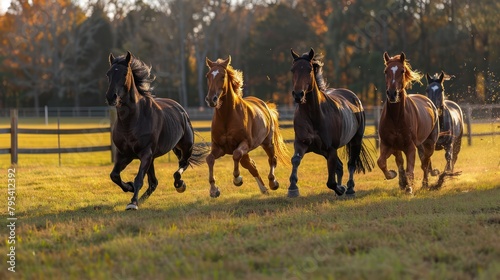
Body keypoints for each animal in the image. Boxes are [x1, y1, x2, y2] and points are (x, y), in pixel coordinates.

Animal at [105, 50, 207, 210]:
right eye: (108, 73)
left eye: (124, 73)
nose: (111, 97)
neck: (132, 121)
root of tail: (181, 109)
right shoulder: (125, 154)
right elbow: (114, 175)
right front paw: (129, 187)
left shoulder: (146, 153)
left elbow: (139, 178)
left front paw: (132, 203)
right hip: (154, 157)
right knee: (154, 183)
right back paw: (141, 198)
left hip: (184, 147)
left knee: (182, 165)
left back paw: (179, 184)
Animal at [204, 55, 290, 198]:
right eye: (208, 76)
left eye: (222, 76)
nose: (211, 99)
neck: (227, 116)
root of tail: (264, 104)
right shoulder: (219, 147)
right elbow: (209, 159)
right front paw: (213, 189)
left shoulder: (244, 144)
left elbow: (236, 155)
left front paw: (237, 179)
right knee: (251, 166)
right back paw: (264, 189)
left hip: (268, 142)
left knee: (272, 159)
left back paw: (273, 183)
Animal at [288, 47, 374, 197]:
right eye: (293, 70)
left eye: (309, 69)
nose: (298, 95)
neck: (314, 115)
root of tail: (354, 98)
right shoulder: (302, 143)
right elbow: (296, 160)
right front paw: (293, 187)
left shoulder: (331, 148)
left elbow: (330, 181)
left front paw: (341, 188)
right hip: (322, 151)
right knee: (340, 166)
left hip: (355, 140)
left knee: (351, 164)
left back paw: (349, 188)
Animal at [376, 52, 440, 192]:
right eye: (385, 71)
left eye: (402, 71)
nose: (392, 94)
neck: (396, 118)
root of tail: (429, 102)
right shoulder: (388, 145)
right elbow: (382, 162)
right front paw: (394, 176)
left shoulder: (410, 147)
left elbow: (410, 169)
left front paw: (409, 188)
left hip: (429, 143)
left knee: (425, 162)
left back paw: (425, 184)